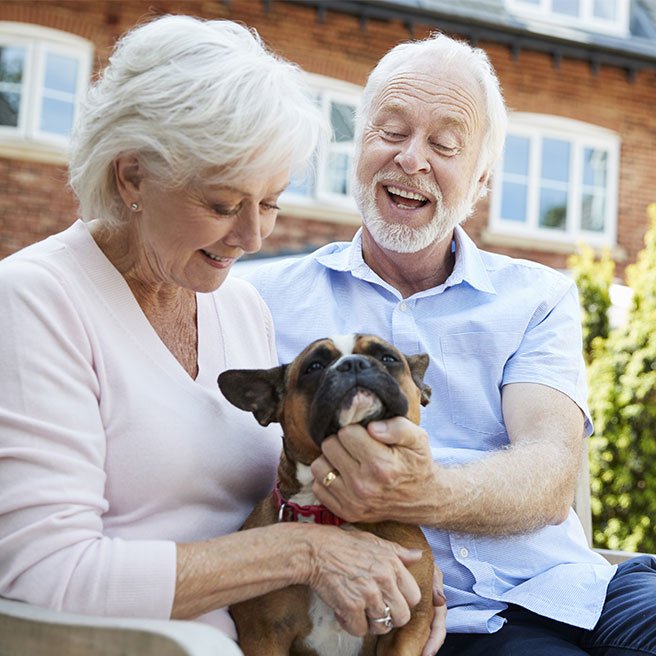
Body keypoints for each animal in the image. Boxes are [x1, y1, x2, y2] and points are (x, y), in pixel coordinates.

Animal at [219, 336, 436, 652]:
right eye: (314, 366)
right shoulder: (263, 635)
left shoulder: (409, 627)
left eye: (388, 357)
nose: (353, 363)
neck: (329, 514)